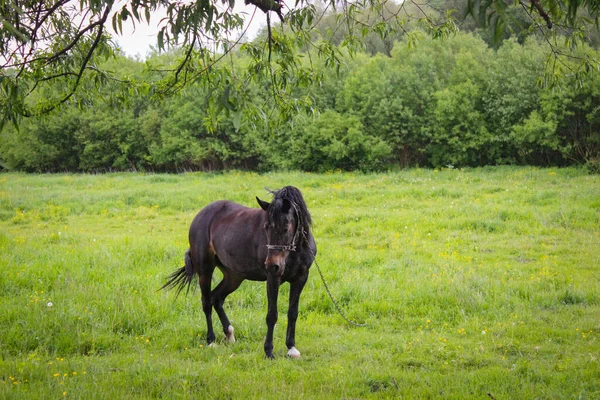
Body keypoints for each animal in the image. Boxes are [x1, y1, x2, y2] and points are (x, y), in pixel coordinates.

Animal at [162, 187, 316, 360]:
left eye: (286, 227)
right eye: (266, 227)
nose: (272, 264)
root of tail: (200, 215)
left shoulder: (301, 278)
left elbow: (293, 313)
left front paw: (291, 348)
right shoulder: (273, 278)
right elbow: (272, 315)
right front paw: (269, 351)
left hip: (234, 276)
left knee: (217, 298)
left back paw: (229, 334)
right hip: (205, 270)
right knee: (206, 302)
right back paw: (211, 341)